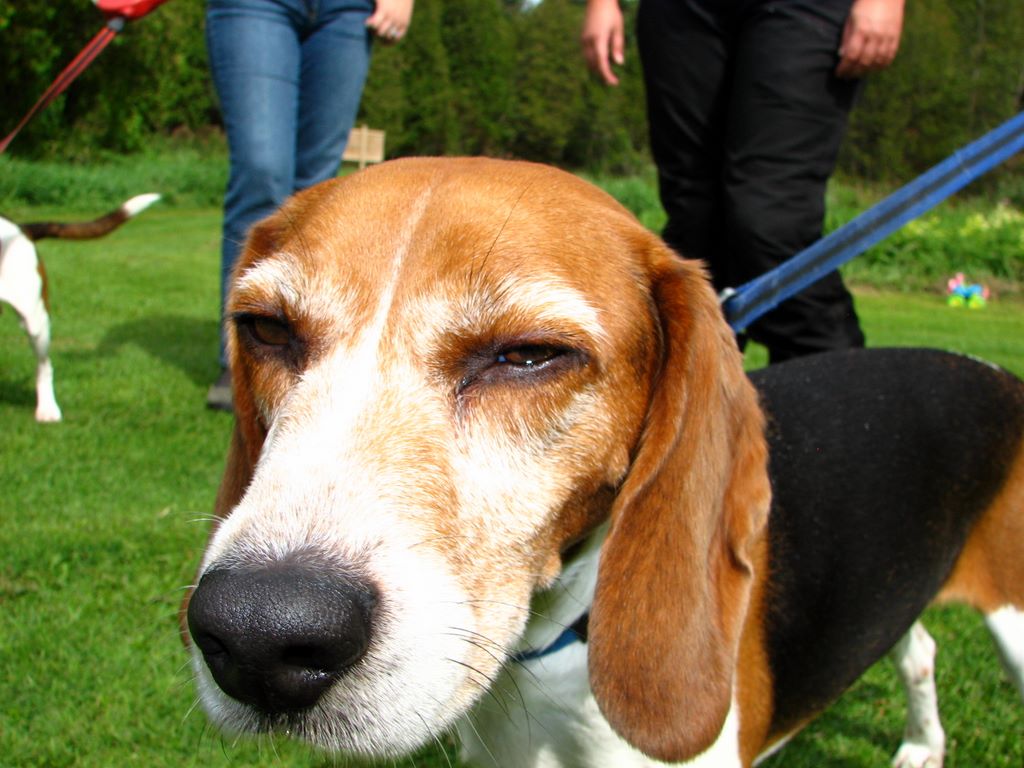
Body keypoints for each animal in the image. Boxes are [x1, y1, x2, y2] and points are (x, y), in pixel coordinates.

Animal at [183, 158, 1023, 767]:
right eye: (265, 329)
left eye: (528, 355)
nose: (258, 637)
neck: (551, 655)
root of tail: (994, 372)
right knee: (921, 650)